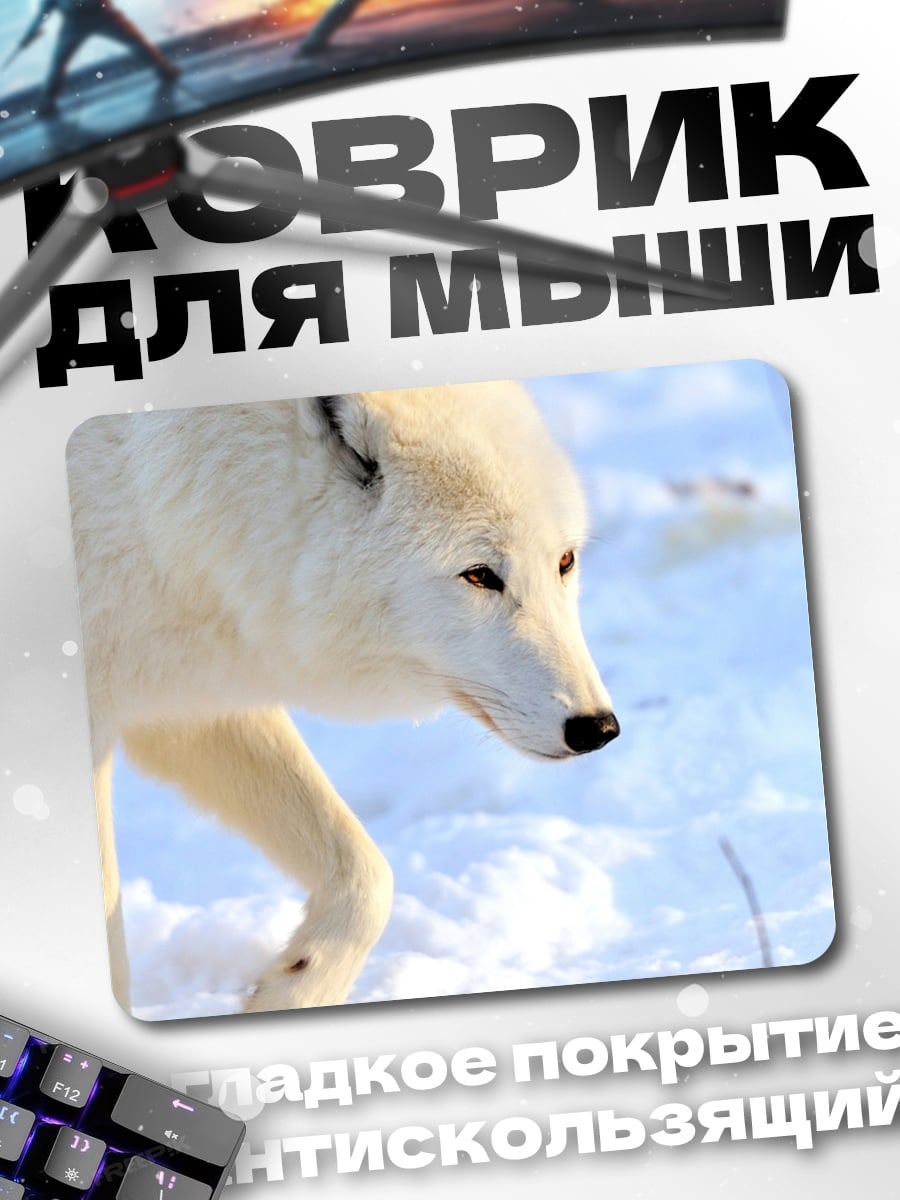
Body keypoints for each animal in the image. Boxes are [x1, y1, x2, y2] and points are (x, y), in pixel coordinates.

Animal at [66, 380, 619, 1013]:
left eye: (564, 562)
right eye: (480, 575)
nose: (597, 727)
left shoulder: (193, 695)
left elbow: (368, 878)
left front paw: (290, 994)